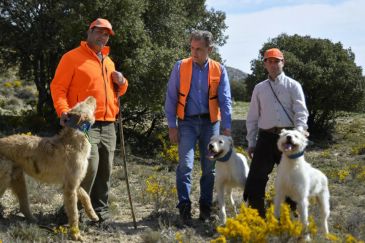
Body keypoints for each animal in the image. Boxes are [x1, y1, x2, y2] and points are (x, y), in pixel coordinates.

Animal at [0, 96, 99, 241]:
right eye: (83, 103)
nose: (92, 97)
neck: (75, 136)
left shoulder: (72, 183)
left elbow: (86, 195)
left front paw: (93, 214)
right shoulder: (70, 187)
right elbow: (74, 213)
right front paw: (76, 234)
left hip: (19, 180)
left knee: (24, 205)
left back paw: (33, 221)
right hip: (5, 178)